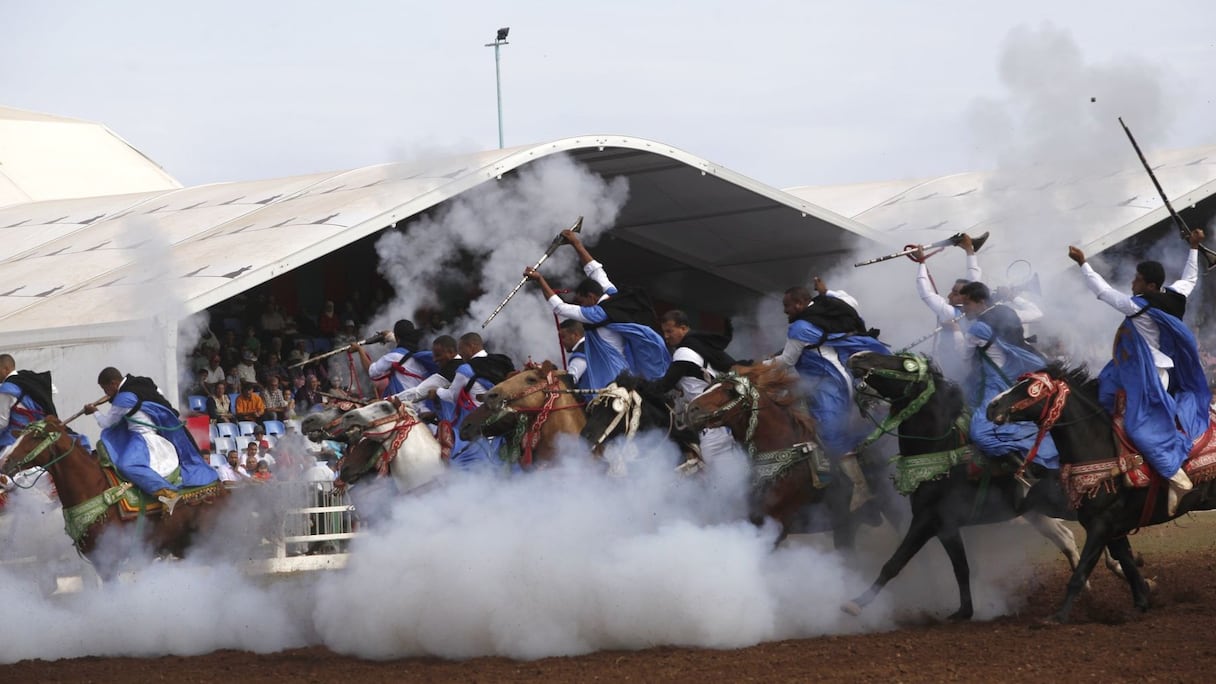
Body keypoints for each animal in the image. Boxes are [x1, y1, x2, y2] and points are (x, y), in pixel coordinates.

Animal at [836, 350, 1084, 618]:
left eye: (906, 364)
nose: (859, 356)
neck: (942, 452)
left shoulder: (927, 519)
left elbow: (894, 563)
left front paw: (855, 603)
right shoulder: (947, 526)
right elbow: (961, 568)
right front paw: (964, 611)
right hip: (1035, 512)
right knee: (1065, 537)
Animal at [987, 365, 1216, 620]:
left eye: (1032, 388)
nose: (992, 406)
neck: (1100, 448)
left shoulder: (1100, 524)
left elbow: (1082, 572)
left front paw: (1057, 617)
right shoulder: (1113, 527)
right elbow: (1127, 562)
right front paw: (1142, 600)